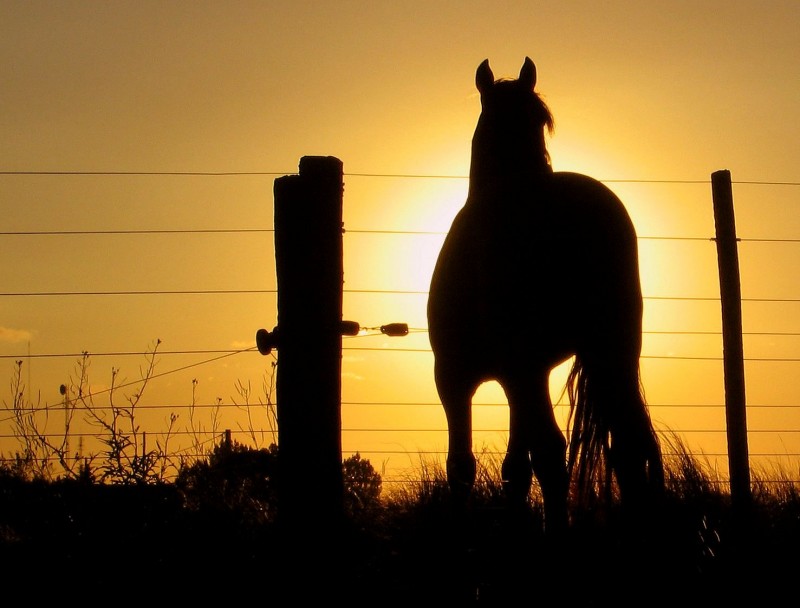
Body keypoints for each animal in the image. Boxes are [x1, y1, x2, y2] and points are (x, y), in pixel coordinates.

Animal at [428, 55, 664, 532]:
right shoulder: (524, 373)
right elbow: (514, 469)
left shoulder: (458, 377)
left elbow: (463, 467)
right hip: (612, 349)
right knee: (629, 445)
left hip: (529, 365)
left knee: (554, 452)